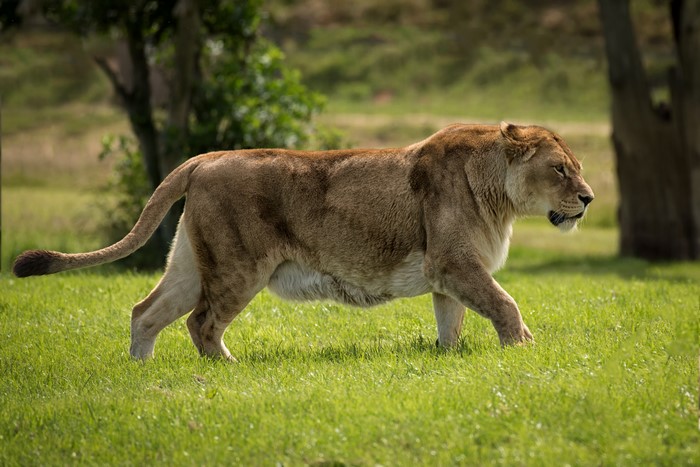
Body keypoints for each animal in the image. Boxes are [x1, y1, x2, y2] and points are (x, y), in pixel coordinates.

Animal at [13, 122, 594, 360]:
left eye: (578, 168)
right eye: (561, 169)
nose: (588, 199)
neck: (499, 192)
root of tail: (203, 159)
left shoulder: (445, 276)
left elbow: (451, 324)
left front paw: (451, 360)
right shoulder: (454, 263)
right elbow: (504, 303)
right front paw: (522, 350)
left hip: (191, 264)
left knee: (145, 311)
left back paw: (143, 373)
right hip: (237, 267)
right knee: (200, 323)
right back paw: (229, 369)